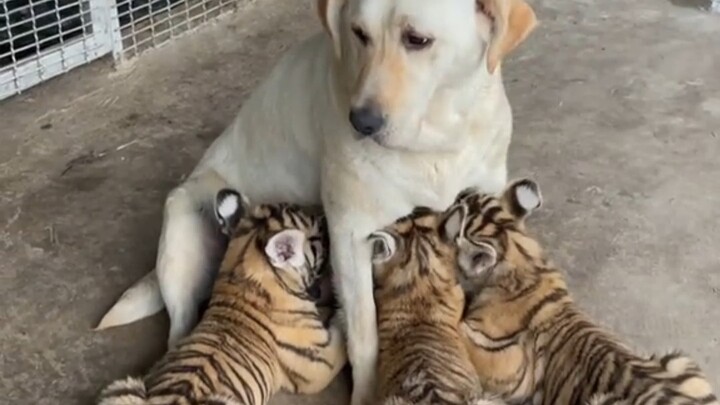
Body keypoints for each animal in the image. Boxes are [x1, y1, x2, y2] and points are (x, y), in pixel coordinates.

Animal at [98, 189, 347, 405]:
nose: (324, 214)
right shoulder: (320, 362)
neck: (240, 273)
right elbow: (342, 336)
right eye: (318, 233)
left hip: (124, 388)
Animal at [449, 178, 718, 405]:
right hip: (679, 360)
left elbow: (459, 331)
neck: (521, 256)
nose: (462, 190)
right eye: (465, 196)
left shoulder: (506, 364)